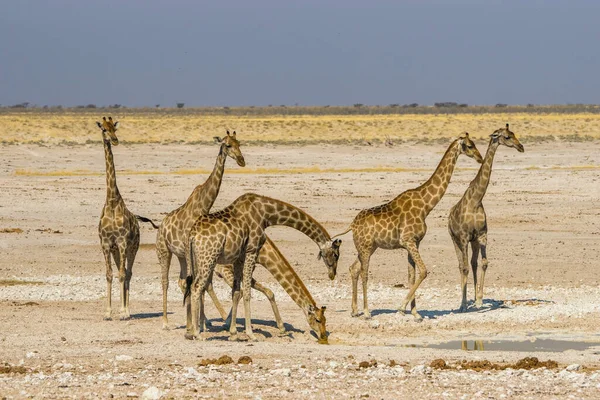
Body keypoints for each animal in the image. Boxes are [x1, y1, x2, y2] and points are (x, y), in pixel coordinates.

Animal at [96, 117, 158, 320]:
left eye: (114, 129)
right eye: (104, 129)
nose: (115, 140)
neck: (112, 202)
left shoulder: (123, 242)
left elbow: (123, 274)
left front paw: (123, 312)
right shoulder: (106, 244)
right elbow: (109, 274)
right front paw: (108, 312)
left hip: (132, 248)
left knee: (128, 272)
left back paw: (127, 310)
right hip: (116, 251)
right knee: (120, 271)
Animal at [158, 130, 247, 330]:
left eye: (239, 143)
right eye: (227, 145)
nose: (241, 160)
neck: (204, 205)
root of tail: (160, 226)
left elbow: (203, 284)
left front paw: (202, 323)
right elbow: (202, 284)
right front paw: (200, 323)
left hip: (181, 256)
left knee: (182, 281)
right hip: (164, 251)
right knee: (166, 281)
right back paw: (166, 322)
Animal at [183, 193, 342, 340]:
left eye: (325, 320)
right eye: (335, 254)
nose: (332, 274)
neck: (266, 214)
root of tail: (192, 235)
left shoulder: (240, 257)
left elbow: (237, 292)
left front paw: (233, 333)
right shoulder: (252, 251)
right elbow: (247, 292)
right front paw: (250, 334)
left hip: (197, 260)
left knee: (194, 286)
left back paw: (194, 329)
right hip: (208, 259)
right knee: (197, 287)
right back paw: (197, 332)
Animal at [332, 133, 482, 320]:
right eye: (469, 145)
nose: (480, 158)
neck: (426, 205)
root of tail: (352, 224)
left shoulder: (414, 242)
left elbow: (411, 276)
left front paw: (415, 313)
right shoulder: (408, 241)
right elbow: (423, 271)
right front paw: (402, 307)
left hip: (369, 247)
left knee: (354, 269)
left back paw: (354, 310)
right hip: (365, 247)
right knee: (364, 273)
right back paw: (366, 312)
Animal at [448, 123, 524, 310]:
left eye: (514, 134)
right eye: (507, 137)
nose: (521, 147)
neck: (476, 200)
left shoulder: (482, 235)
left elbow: (483, 263)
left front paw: (480, 299)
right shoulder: (463, 237)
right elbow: (465, 267)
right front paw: (463, 304)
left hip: (473, 241)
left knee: (473, 263)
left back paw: (474, 298)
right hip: (455, 239)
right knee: (461, 265)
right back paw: (463, 302)